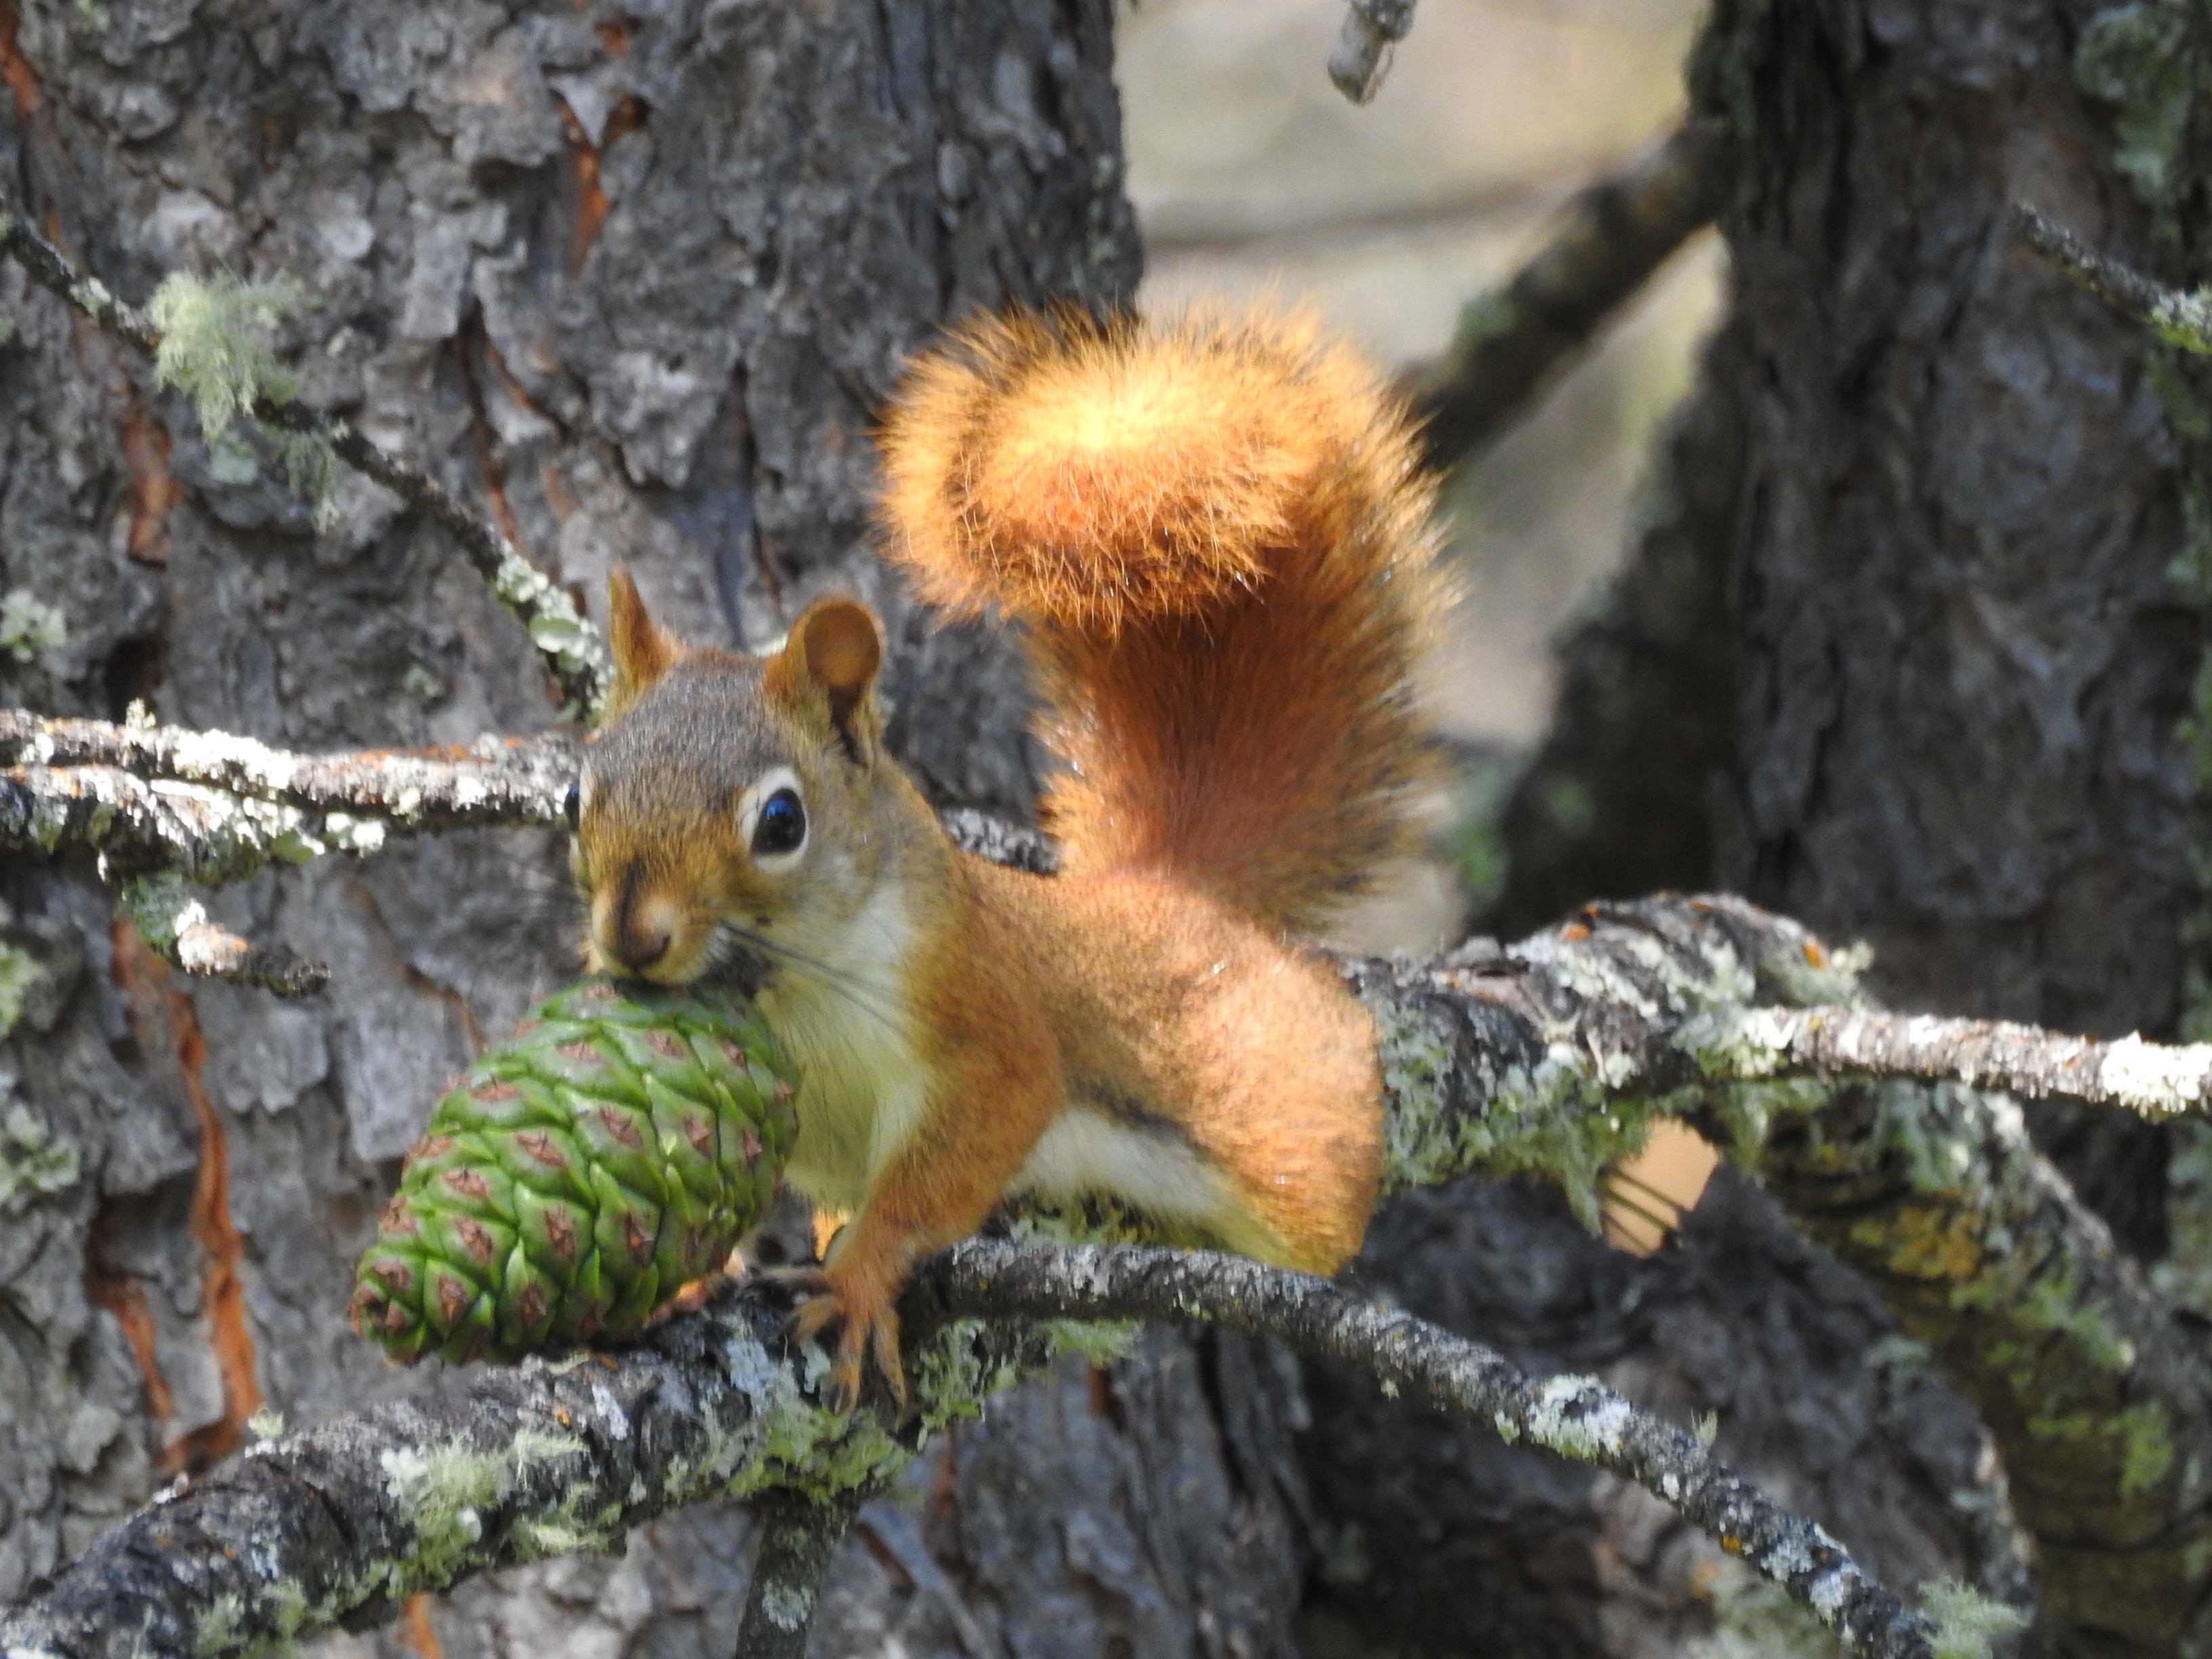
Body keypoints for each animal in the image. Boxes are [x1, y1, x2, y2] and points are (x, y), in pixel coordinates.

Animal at [571, 303, 1441, 1409]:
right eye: (577, 794)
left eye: (781, 823)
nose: (631, 937)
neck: (795, 985)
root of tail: (1167, 893)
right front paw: (689, 1280)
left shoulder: (984, 1021)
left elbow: (950, 1162)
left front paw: (859, 1279)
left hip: (1278, 1138)